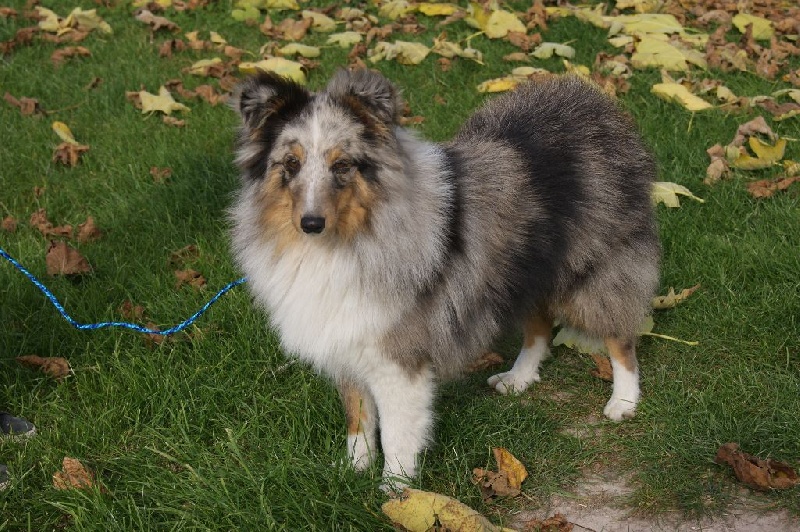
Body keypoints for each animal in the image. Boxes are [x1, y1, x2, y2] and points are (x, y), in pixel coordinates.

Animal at [228, 68, 660, 488]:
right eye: (291, 164)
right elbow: (358, 418)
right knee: (538, 326)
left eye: (343, 165)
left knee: (620, 337)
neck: (348, 240)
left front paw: (395, 493)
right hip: (523, 269)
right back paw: (519, 378)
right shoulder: (345, 340)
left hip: (595, 273)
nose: (310, 223)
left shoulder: (399, 358)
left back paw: (623, 402)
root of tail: (594, 100)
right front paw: (353, 470)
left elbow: (397, 434)